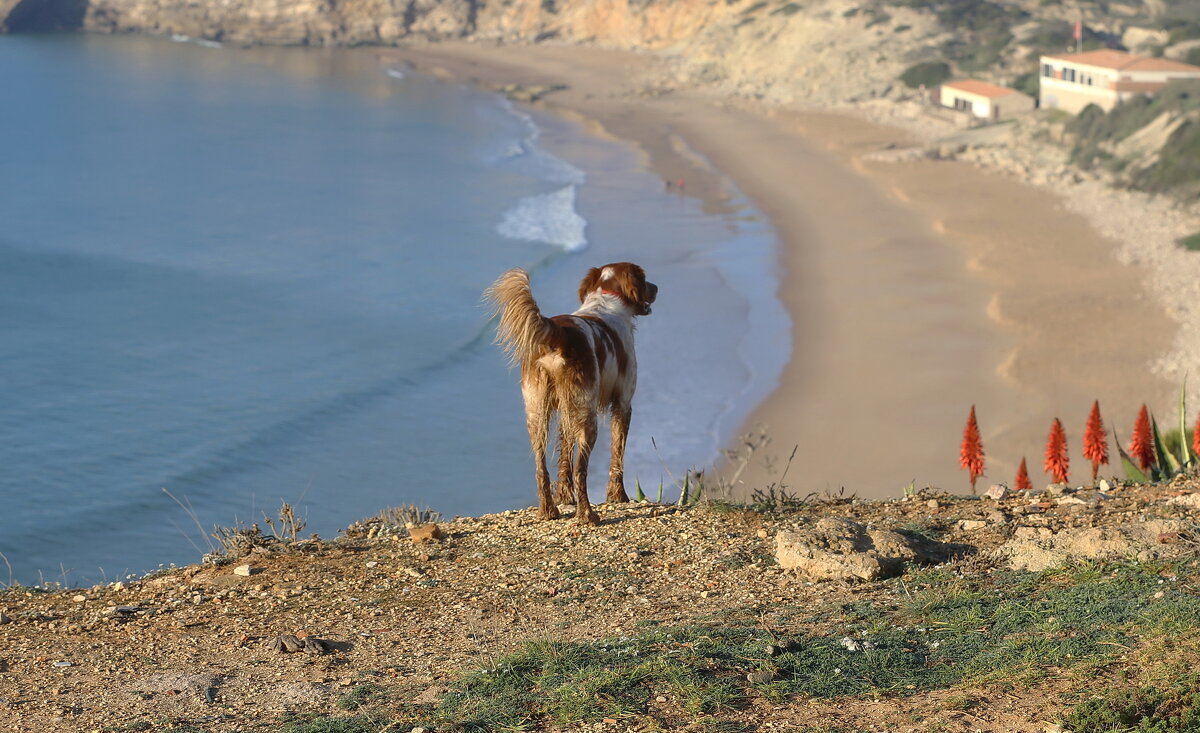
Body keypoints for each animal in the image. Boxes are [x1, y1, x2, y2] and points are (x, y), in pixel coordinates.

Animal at [484, 262, 657, 523]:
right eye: (644, 279)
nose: (656, 288)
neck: (606, 298)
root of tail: (558, 334)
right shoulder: (623, 403)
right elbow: (617, 454)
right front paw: (618, 496)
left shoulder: (566, 410)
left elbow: (564, 453)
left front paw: (564, 497)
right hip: (587, 416)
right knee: (580, 469)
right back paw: (587, 515)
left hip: (537, 413)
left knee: (541, 467)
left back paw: (548, 510)